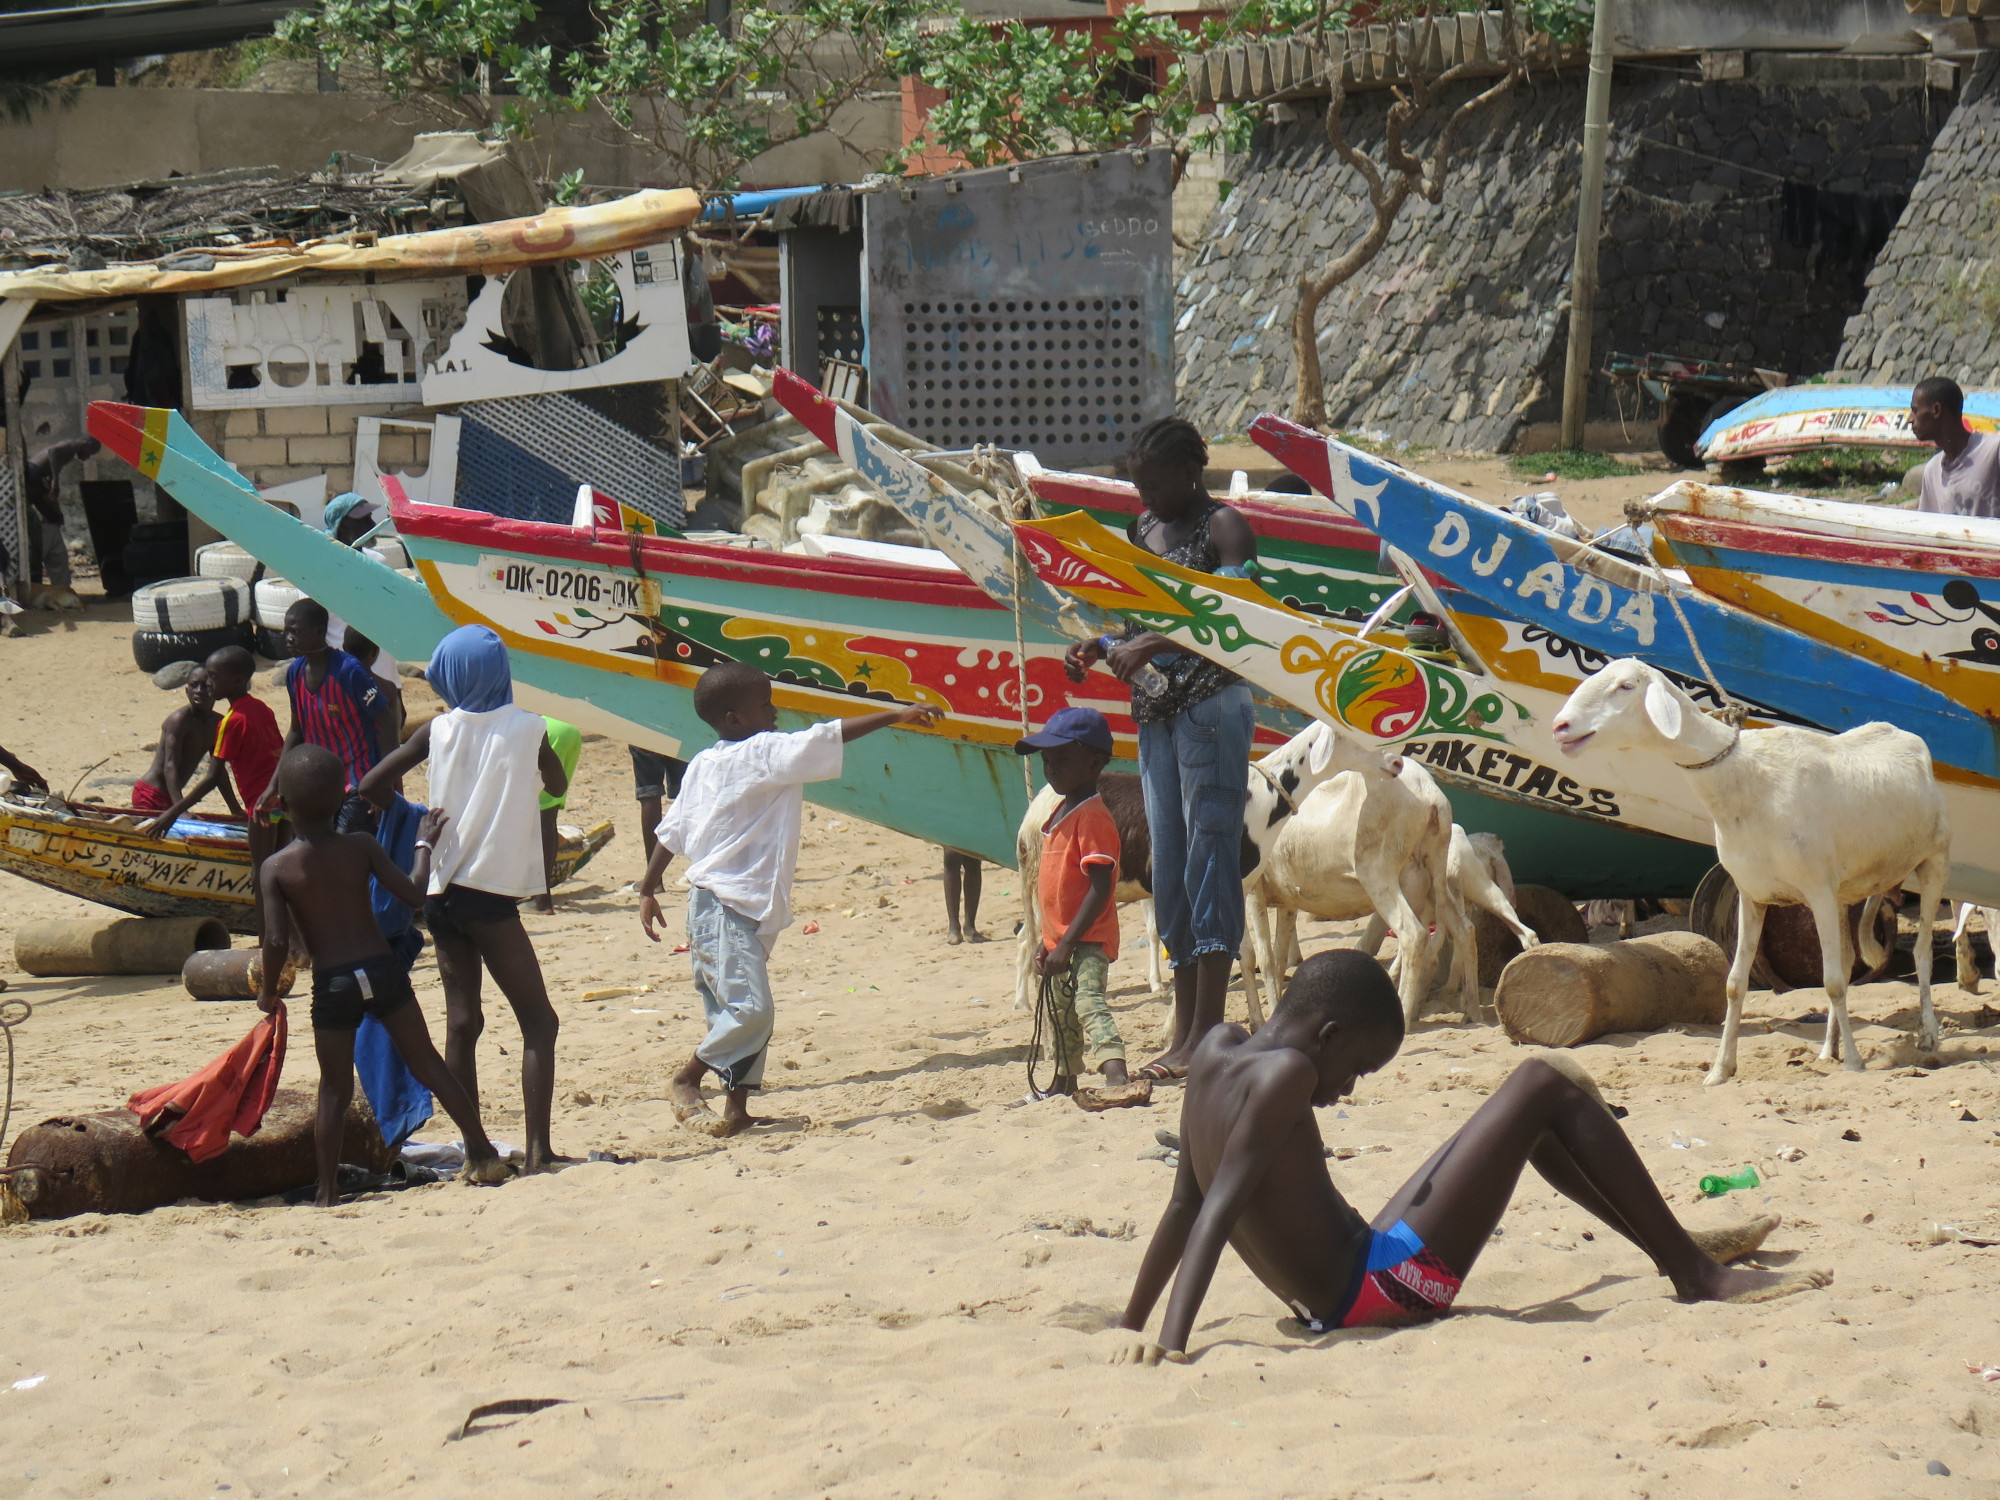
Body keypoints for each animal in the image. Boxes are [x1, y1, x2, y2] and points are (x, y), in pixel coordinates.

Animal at [1544, 664, 1952, 1088]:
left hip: (1934, 862)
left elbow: (1833, 981)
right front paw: (1721, 1069)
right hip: (1843, 893)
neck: (1744, 778)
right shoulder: (1751, 894)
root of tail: (1900, 731)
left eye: (1626, 686)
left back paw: (1927, 1036)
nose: (1560, 727)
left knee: (1921, 953)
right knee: (1848, 957)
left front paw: (1855, 1064)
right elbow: (1736, 984)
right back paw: (1829, 1048)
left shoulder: (1817, 891)